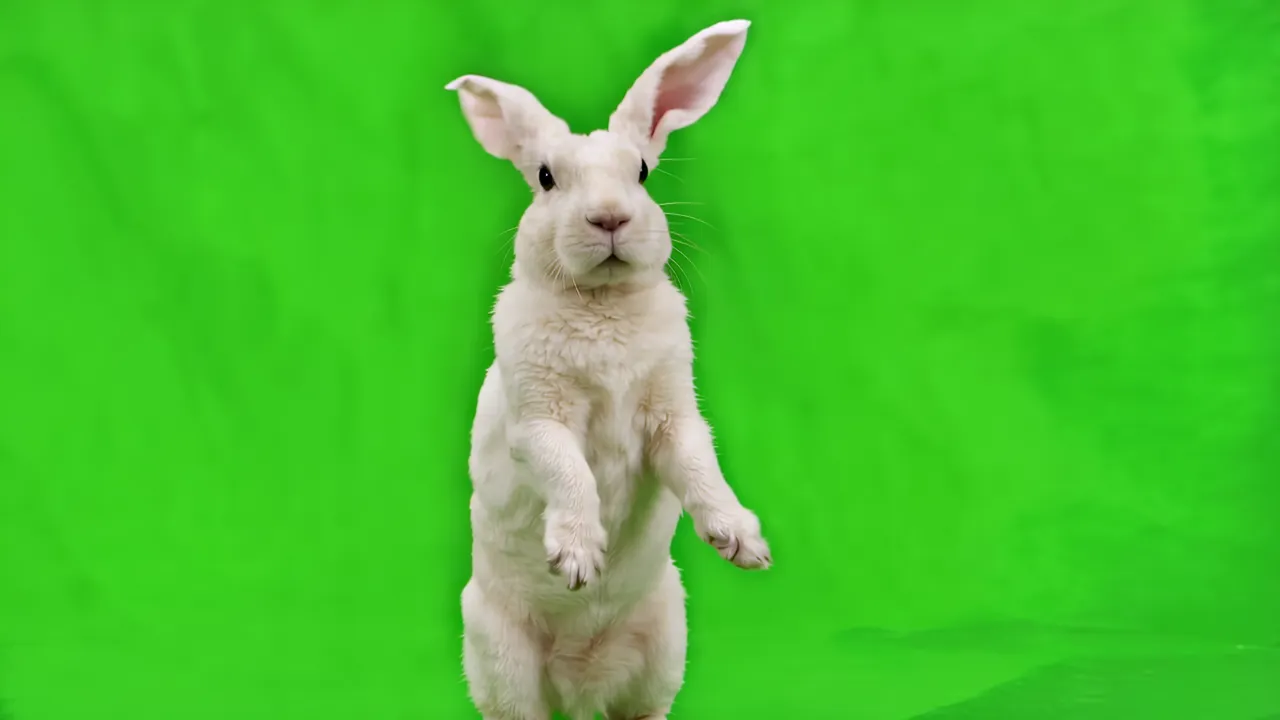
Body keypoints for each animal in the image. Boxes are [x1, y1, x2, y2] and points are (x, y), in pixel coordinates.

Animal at [446, 20, 771, 720]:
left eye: (642, 172)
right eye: (545, 178)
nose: (610, 218)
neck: (601, 304)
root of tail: (580, 684)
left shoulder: (672, 415)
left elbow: (699, 467)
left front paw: (743, 543)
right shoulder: (538, 421)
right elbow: (569, 471)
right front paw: (576, 557)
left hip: (664, 639)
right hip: (501, 657)